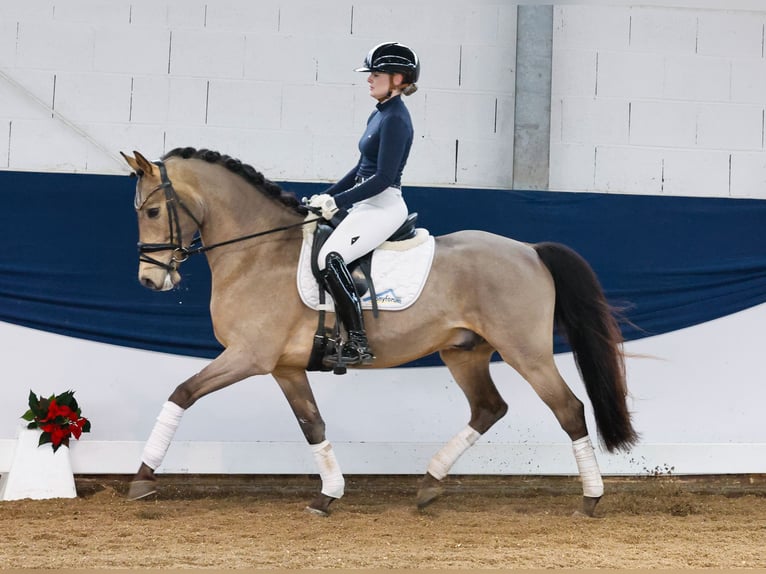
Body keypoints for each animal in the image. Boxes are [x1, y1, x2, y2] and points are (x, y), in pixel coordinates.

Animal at [121, 147, 636, 516]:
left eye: (151, 212)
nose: (149, 280)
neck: (259, 253)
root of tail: (529, 250)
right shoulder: (285, 367)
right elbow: (313, 425)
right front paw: (328, 494)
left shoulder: (249, 356)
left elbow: (182, 393)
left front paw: (142, 479)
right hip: (464, 352)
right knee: (489, 408)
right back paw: (429, 484)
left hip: (525, 351)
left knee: (568, 409)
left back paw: (591, 499)